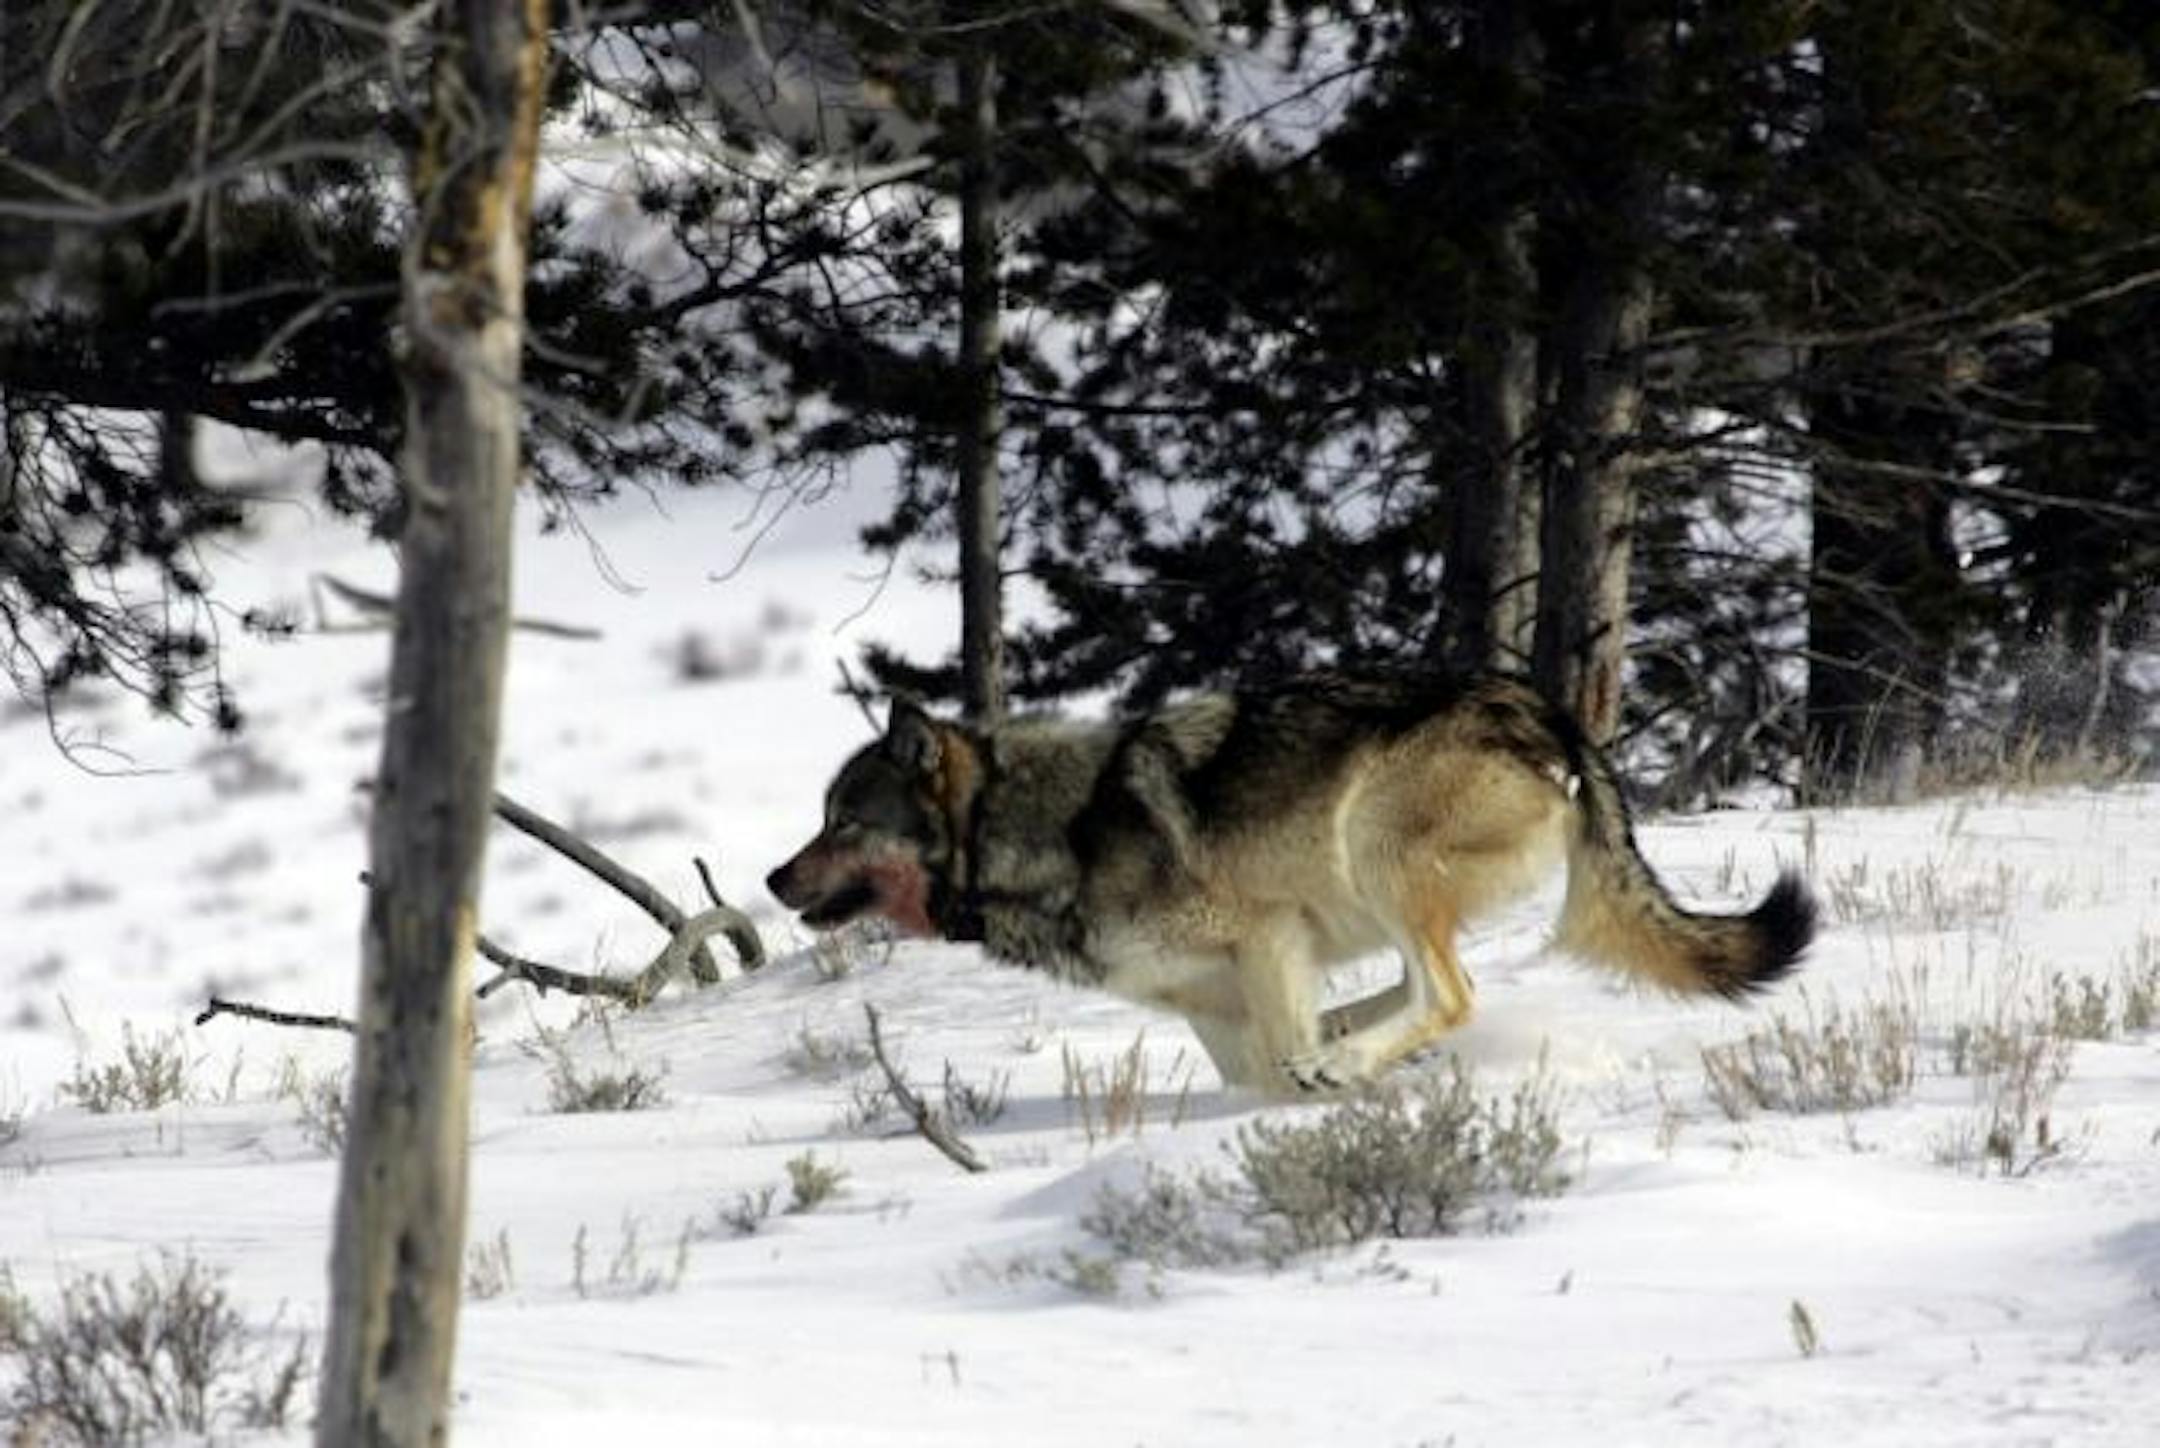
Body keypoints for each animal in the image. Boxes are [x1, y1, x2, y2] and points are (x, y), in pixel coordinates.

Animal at [767, 671, 1814, 1095]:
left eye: (844, 821)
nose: (774, 877)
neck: (1036, 831)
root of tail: (1547, 709)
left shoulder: (1267, 934)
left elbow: (1276, 1067)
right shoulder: (1215, 1001)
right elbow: (1253, 1076)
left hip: (1372, 846)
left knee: (1453, 993)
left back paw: (1344, 1060)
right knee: (1421, 989)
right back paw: (1347, 1046)